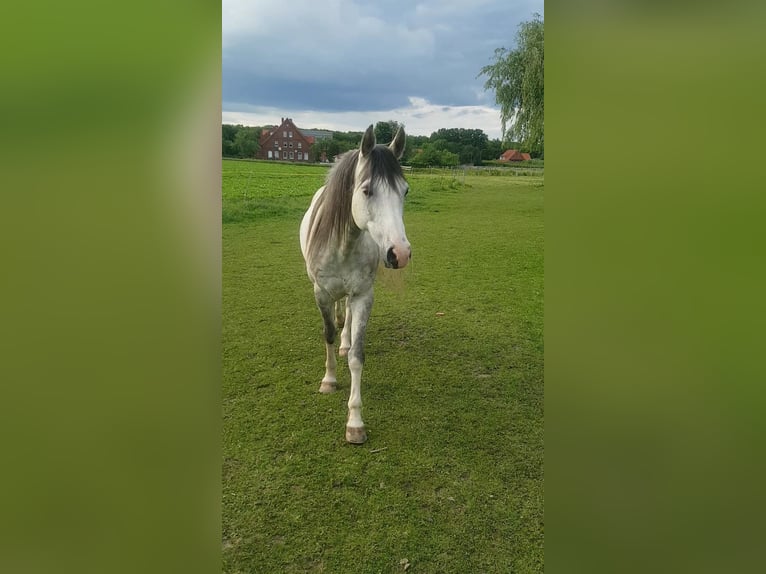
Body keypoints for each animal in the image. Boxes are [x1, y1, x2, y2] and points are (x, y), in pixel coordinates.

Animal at [298, 126, 412, 448]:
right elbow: (327, 335)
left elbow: (357, 356)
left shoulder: (363, 295)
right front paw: (329, 381)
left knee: (347, 314)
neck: (342, 243)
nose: (399, 253)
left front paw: (355, 422)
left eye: (405, 191)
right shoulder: (320, 294)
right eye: (366, 190)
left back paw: (345, 339)